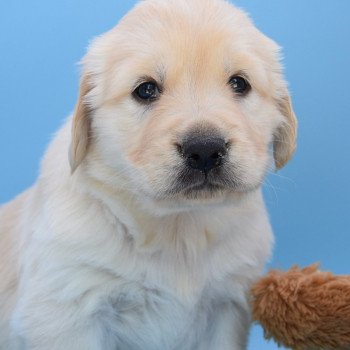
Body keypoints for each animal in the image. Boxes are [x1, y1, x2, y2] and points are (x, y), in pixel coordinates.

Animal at [0, 0, 296, 348]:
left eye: (239, 83)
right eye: (145, 90)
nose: (204, 150)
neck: (177, 229)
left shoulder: (227, 307)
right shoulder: (65, 308)